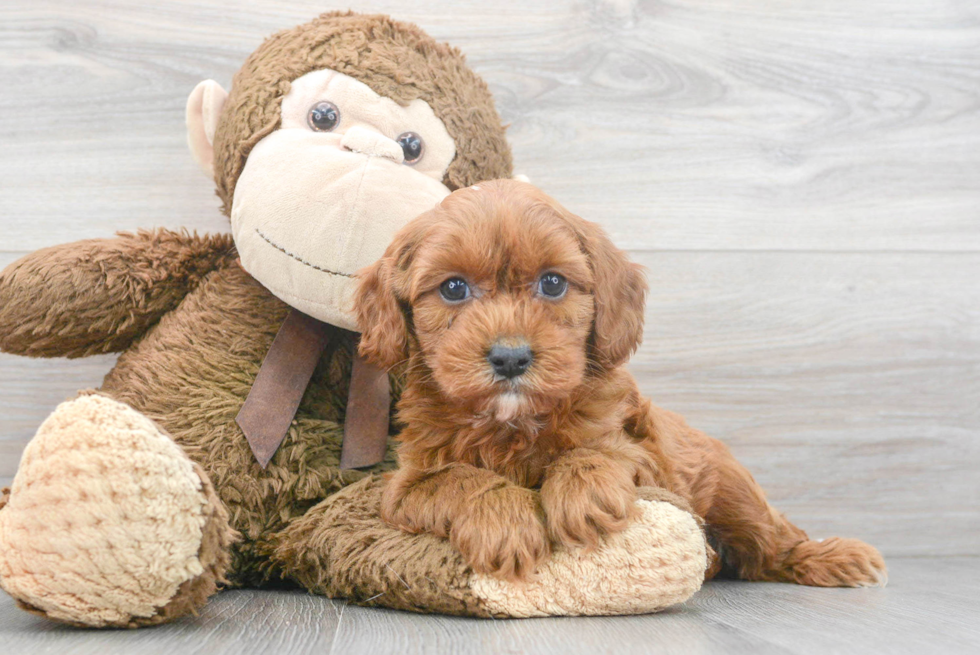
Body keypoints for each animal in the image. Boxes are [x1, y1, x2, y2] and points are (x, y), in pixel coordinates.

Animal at [354, 177, 888, 588]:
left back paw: (834, 557)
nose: (510, 357)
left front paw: (584, 496)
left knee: (772, 541)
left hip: (734, 493)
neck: (512, 424)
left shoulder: (644, 455)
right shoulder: (406, 485)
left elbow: (600, 450)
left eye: (553, 283)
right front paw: (505, 523)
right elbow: (459, 479)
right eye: (453, 288)